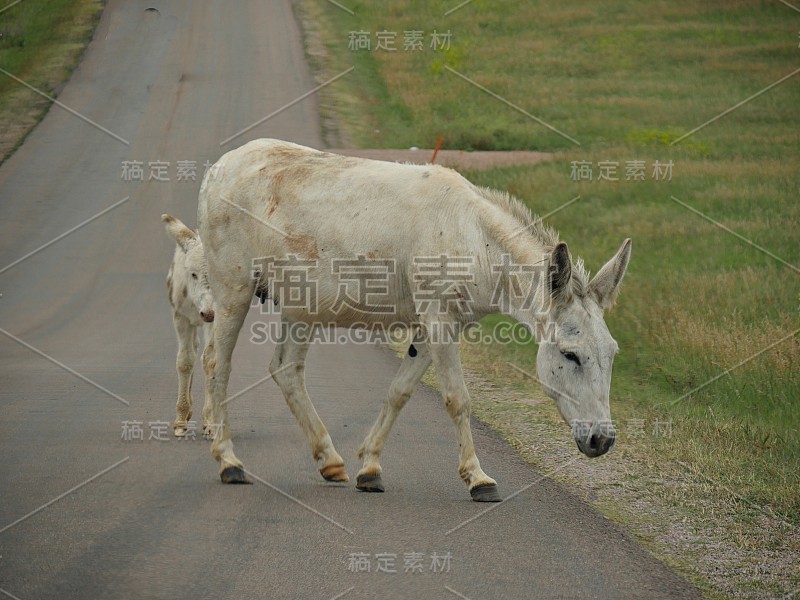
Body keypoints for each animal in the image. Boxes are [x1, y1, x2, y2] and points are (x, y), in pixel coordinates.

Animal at [198, 139, 632, 502]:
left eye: (612, 355)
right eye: (570, 355)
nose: (602, 440)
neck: (472, 239)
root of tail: (219, 167)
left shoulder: (435, 327)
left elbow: (400, 391)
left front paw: (370, 468)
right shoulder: (440, 322)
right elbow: (458, 399)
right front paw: (478, 478)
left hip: (300, 306)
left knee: (286, 370)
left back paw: (330, 461)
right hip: (234, 290)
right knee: (218, 365)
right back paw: (229, 462)